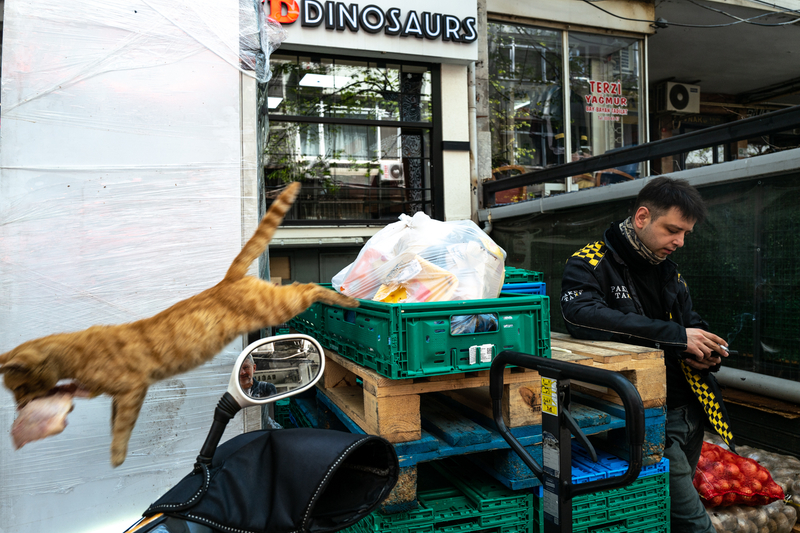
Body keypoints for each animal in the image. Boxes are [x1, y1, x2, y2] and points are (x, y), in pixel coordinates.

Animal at [0, 183, 356, 466]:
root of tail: (226, 280)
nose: (20, 406)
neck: (74, 352)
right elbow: (107, 413)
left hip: (279, 306)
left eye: (19, 389)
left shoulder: (132, 390)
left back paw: (346, 300)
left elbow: (121, 427)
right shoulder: (112, 393)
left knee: (307, 287)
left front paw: (117, 457)